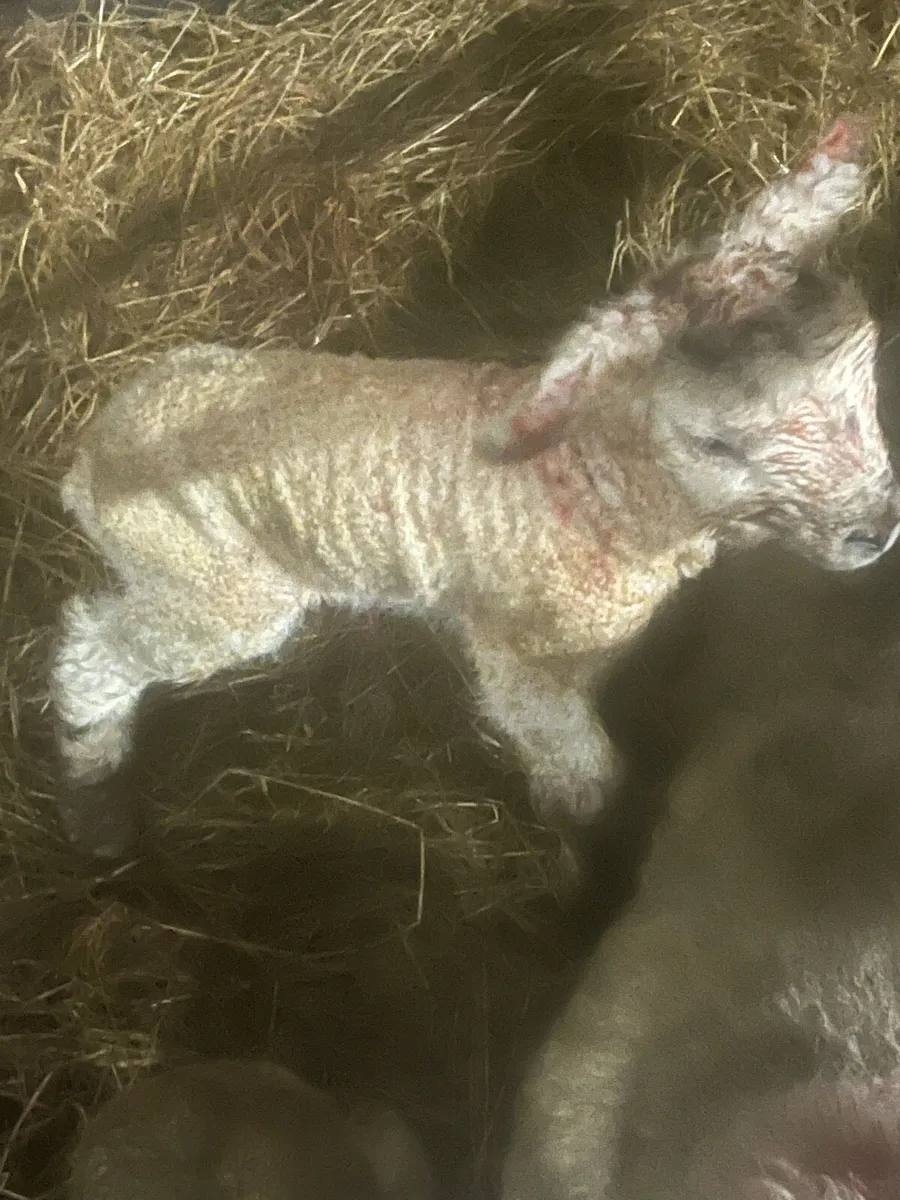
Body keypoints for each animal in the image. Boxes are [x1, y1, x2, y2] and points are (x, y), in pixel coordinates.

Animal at [50, 115, 900, 857]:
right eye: (712, 442)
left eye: (866, 371)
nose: (875, 531)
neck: (600, 488)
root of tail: (90, 455)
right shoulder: (520, 657)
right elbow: (577, 764)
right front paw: (585, 832)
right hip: (217, 587)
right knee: (96, 651)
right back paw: (94, 770)